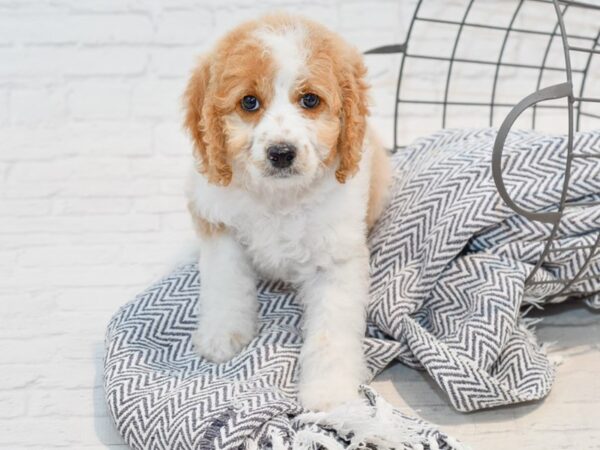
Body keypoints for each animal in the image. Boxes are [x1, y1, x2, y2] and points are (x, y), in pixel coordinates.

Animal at [185, 12, 392, 412]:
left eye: (310, 100)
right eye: (249, 102)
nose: (281, 153)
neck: (278, 198)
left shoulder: (336, 261)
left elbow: (331, 333)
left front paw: (329, 394)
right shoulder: (221, 228)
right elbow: (224, 286)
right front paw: (222, 335)